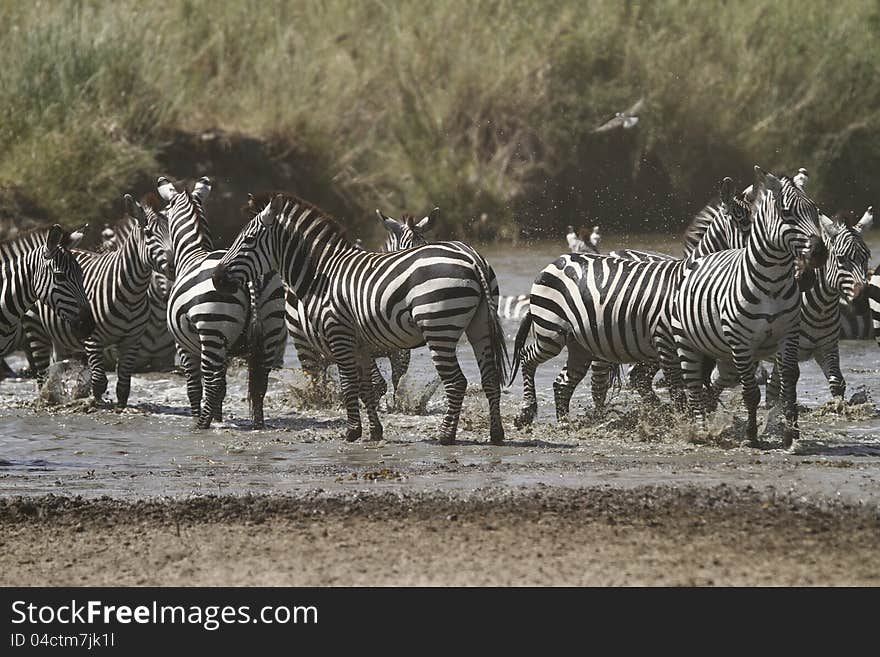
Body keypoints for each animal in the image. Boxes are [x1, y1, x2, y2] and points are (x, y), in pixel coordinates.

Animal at [21, 193, 174, 404]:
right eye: (149, 233)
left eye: (172, 231)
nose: (174, 265)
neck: (132, 295)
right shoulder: (93, 340)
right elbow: (99, 380)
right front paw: (96, 402)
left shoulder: (132, 340)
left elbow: (124, 385)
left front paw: (120, 406)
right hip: (35, 327)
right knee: (41, 374)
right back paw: (48, 398)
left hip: (59, 334)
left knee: (57, 365)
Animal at [161, 177, 286, 428]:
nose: (168, 267)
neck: (192, 253)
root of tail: (251, 276)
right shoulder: (227, 349)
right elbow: (224, 388)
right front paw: (217, 417)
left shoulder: (183, 346)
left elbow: (195, 387)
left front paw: (202, 417)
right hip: (271, 327)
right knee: (260, 382)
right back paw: (258, 424)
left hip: (212, 329)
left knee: (211, 382)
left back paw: (201, 425)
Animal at [212, 192, 508, 444]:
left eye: (248, 240)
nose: (216, 278)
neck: (321, 275)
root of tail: (470, 256)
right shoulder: (361, 344)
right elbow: (368, 387)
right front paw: (375, 432)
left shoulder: (339, 335)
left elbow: (348, 385)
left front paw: (352, 432)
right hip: (480, 326)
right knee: (490, 378)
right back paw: (496, 435)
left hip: (439, 328)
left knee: (457, 382)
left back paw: (446, 436)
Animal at [672, 167, 824, 448]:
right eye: (787, 213)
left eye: (815, 211)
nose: (819, 253)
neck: (772, 284)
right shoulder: (741, 343)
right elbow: (751, 393)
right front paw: (751, 436)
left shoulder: (788, 336)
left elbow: (789, 384)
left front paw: (791, 435)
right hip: (686, 343)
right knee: (693, 387)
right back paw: (700, 433)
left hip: (720, 354)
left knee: (710, 384)